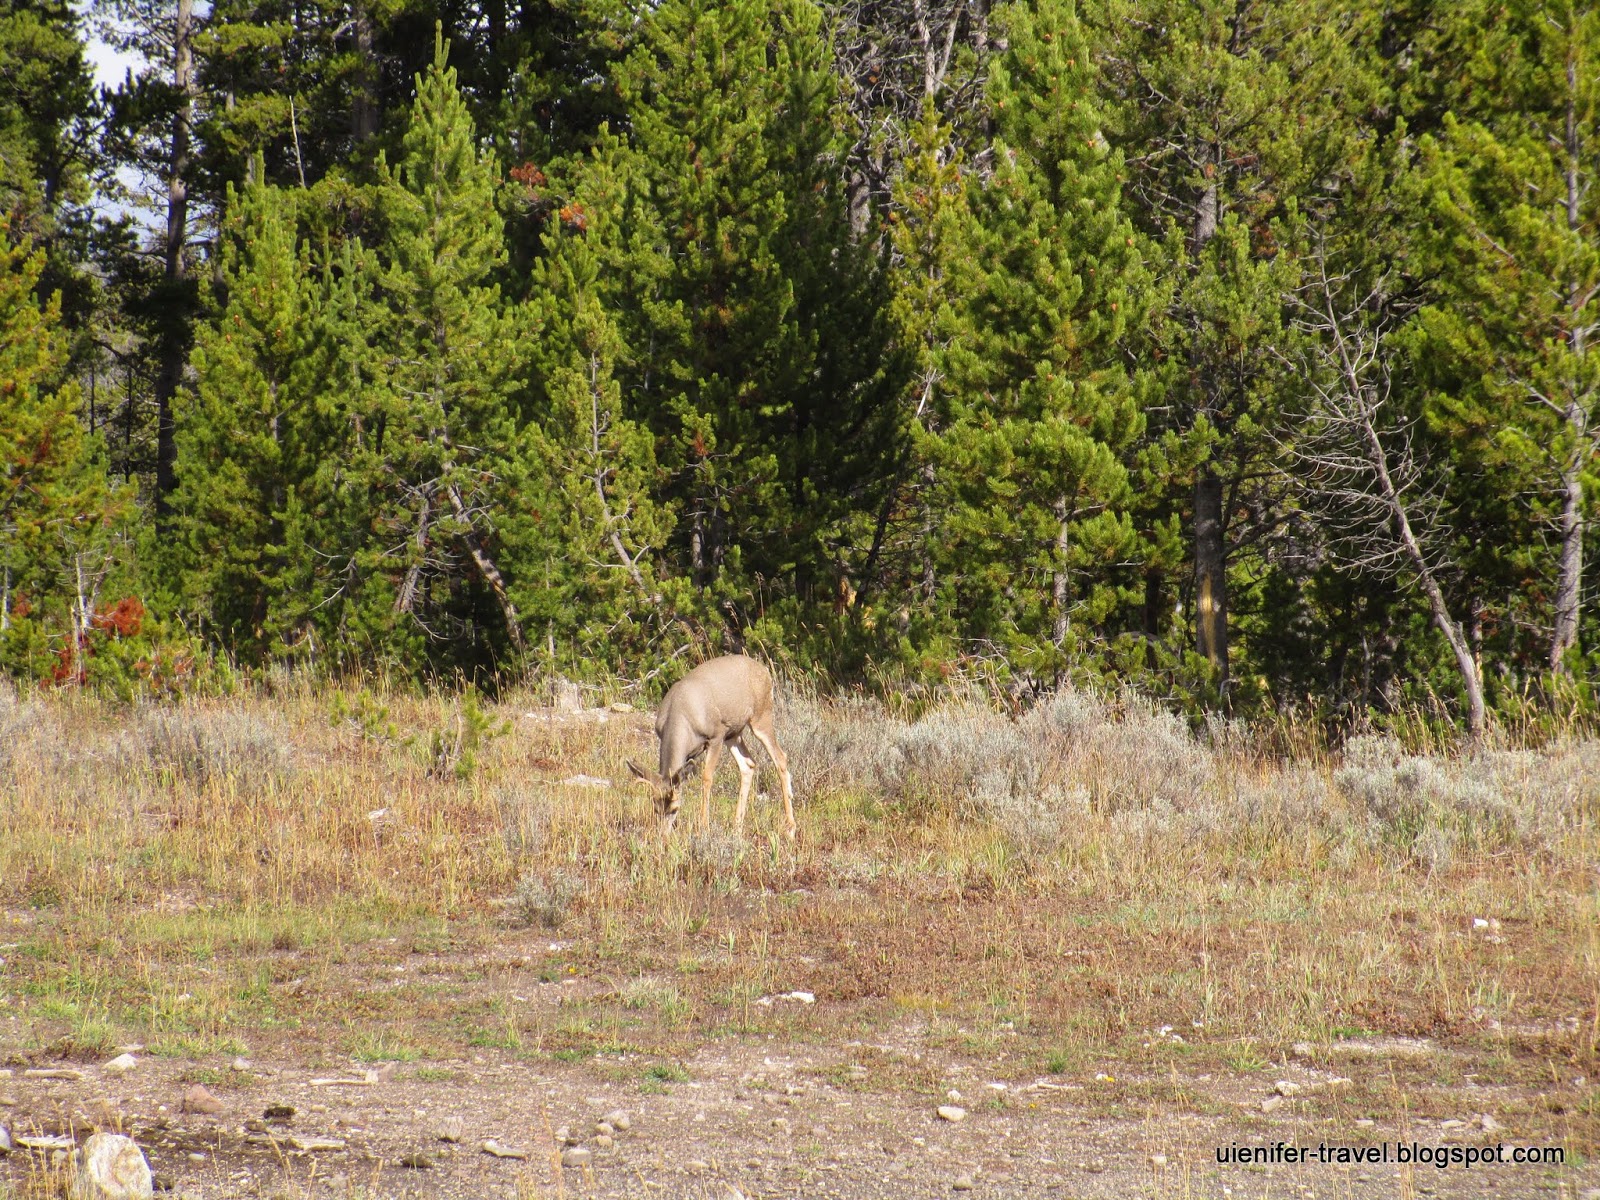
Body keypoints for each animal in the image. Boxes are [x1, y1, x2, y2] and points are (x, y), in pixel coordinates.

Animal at [627, 652, 796, 838]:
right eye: (655, 808)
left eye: (674, 808)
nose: (663, 835)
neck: (681, 718)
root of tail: (764, 670)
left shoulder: (716, 736)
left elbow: (707, 777)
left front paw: (704, 826)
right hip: (734, 733)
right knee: (748, 764)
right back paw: (737, 827)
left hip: (760, 716)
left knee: (780, 757)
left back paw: (790, 828)